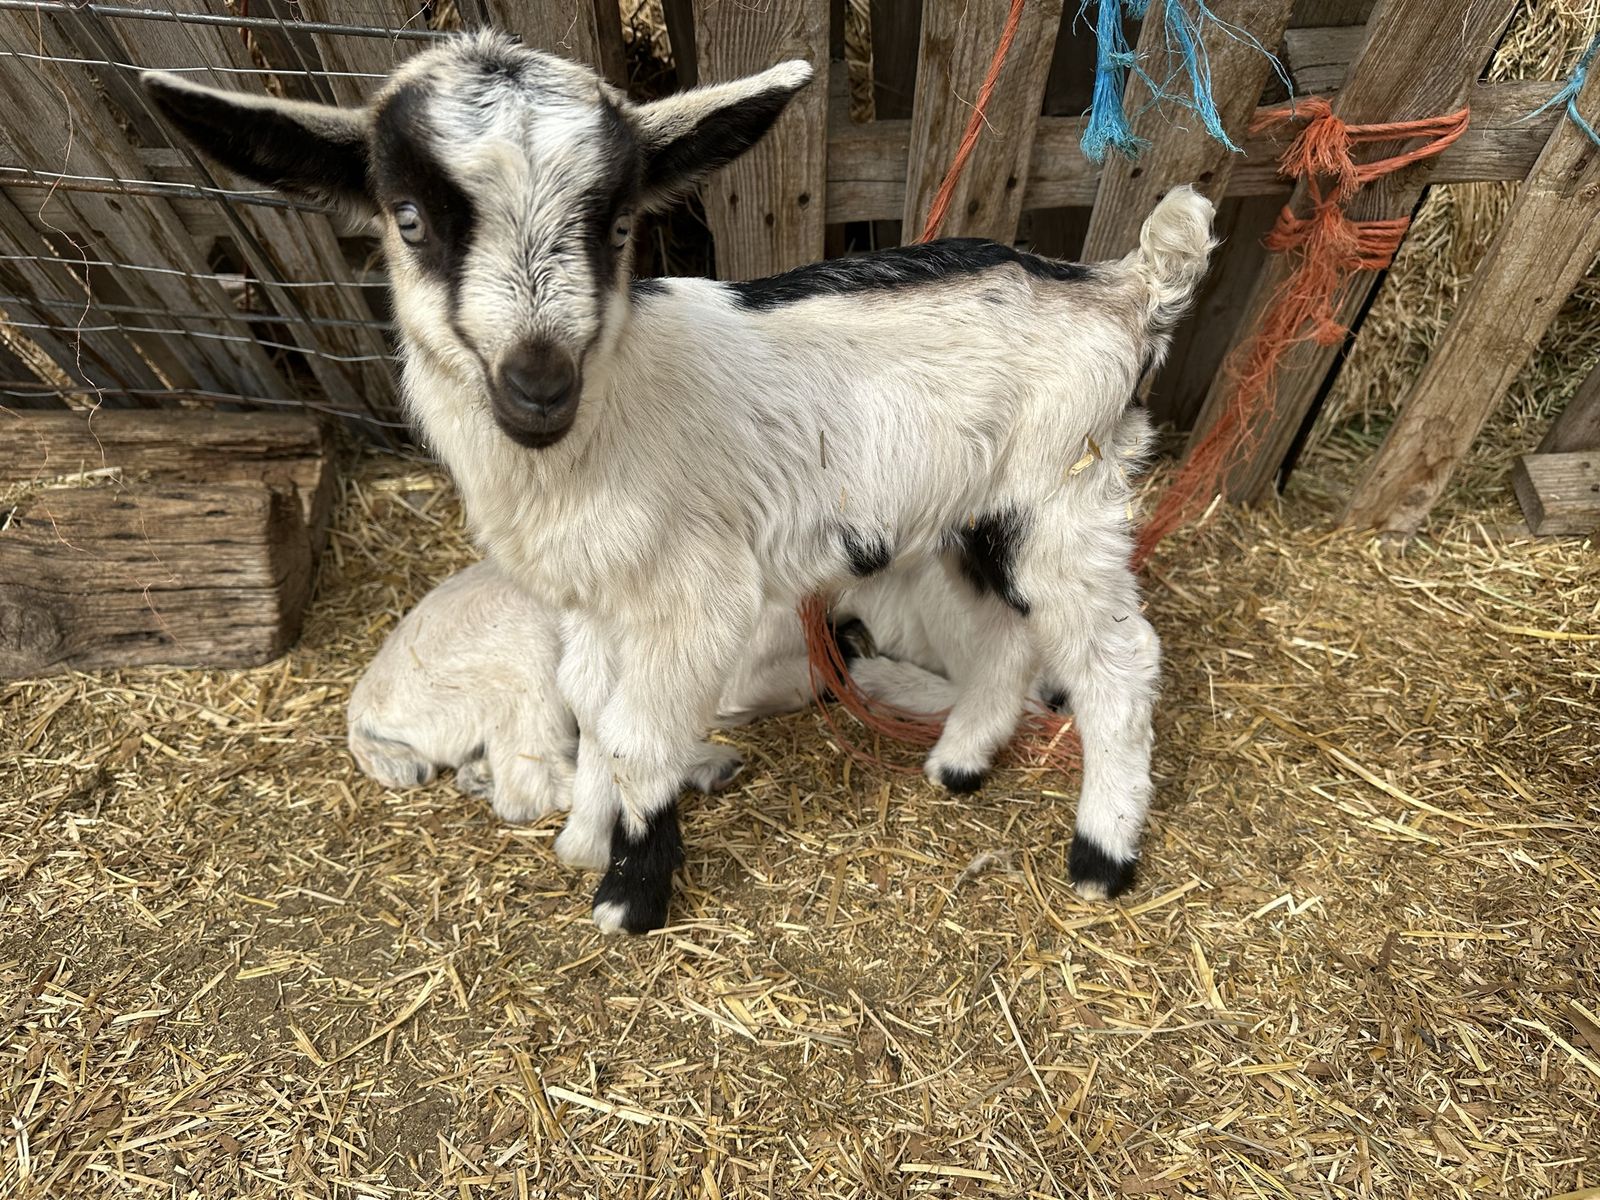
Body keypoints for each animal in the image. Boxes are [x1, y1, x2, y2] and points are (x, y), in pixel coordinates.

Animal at [146, 31, 1215, 933]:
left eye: (618, 225)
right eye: (408, 220)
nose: (538, 384)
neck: (602, 421)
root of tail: (1122, 289)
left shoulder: (696, 594)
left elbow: (633, 738)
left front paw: (631, 894)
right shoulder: (592, 601)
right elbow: (590, 709)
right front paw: (590, 840)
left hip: (1063, 499)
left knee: (1119, 663)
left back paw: (1102, 856)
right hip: (974, 518)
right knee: (1001, 638)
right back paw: (956, 764)